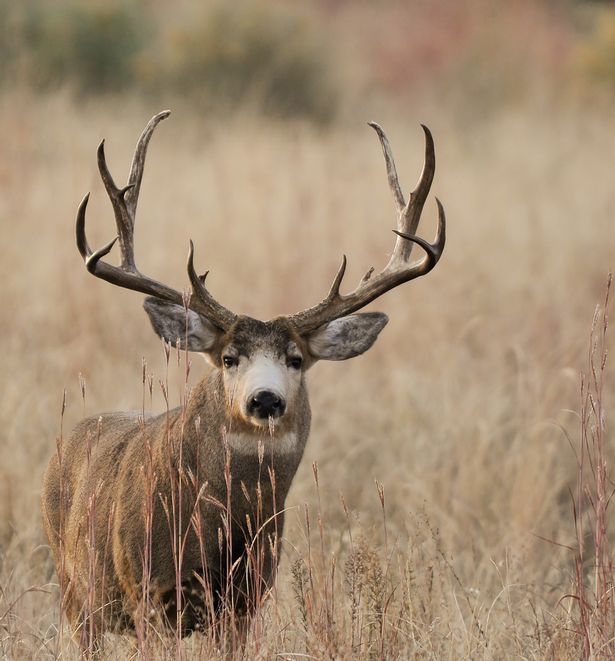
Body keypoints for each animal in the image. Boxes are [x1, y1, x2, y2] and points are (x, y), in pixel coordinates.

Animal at [39, 109, 448, 644]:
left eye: (295, 359)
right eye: (230, 357)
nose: (266, 400)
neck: (221, 526)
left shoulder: (245, 601)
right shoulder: (148, 590)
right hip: (77, 592)